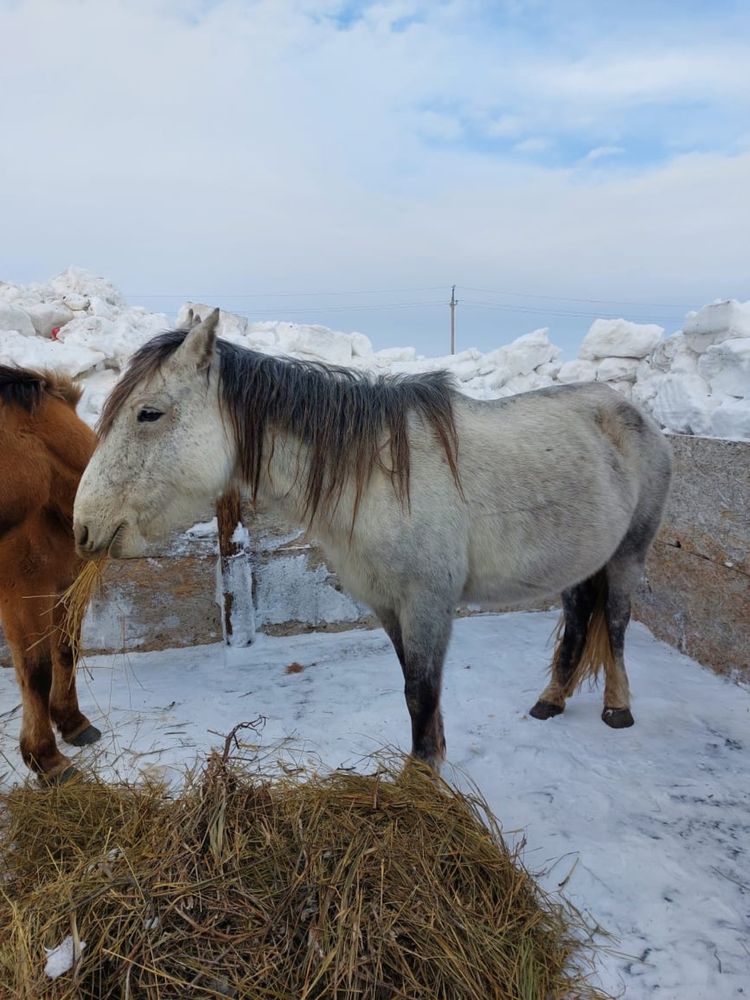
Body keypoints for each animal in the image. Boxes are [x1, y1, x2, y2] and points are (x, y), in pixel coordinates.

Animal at [75, 312, 676, 764]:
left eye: (149, 413)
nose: (83, 527)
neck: (378, 480)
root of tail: (634, 414)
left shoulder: (429, 603)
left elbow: (422, 691)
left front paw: (424, 776)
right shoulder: (388, 604)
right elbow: (413, 690)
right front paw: (431, 758)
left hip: (629, 552)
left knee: (615, 622)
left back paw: (618, 708)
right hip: (581, 559)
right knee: (578, 617)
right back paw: (551, 700)